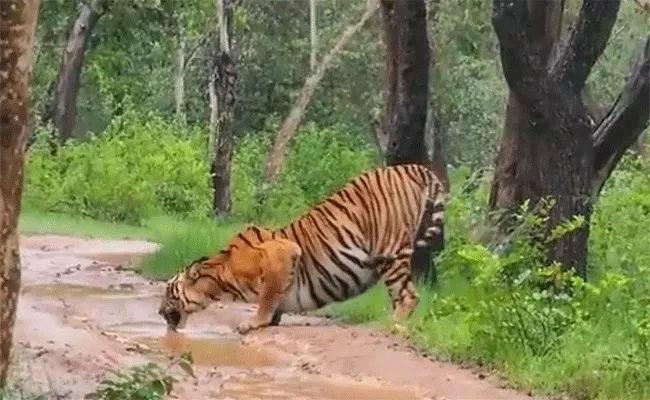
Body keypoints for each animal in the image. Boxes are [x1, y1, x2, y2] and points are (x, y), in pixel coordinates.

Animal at [159, 162, 448, 334]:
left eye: (169, 292)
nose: (159, 312)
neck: (220, 279)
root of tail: (412, 167)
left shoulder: (283, 253)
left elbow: (267, 297)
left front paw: (254, 322)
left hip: (390, 251)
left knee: (408, 295)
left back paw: (388, 324)